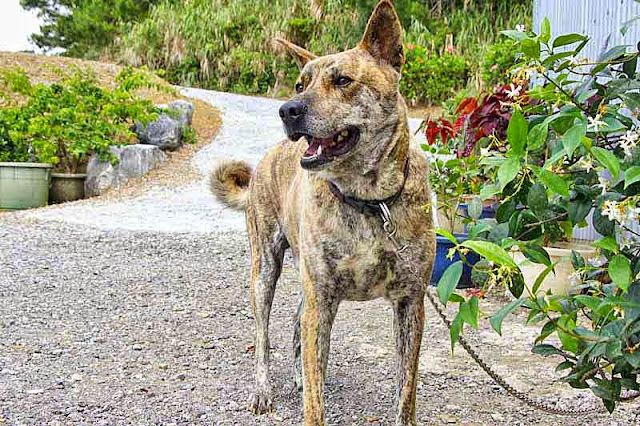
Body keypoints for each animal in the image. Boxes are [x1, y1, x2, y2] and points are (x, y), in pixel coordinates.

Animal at [210, 1, 436, 424]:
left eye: (343, 80)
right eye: (301, 85)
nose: (287, 110)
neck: (368, 200)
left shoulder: (409, 303)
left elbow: (406, 390)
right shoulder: (322, 298)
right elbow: (314, 399)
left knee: (296, 326)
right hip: (265, 272)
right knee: (264, 338)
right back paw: (263, 390)